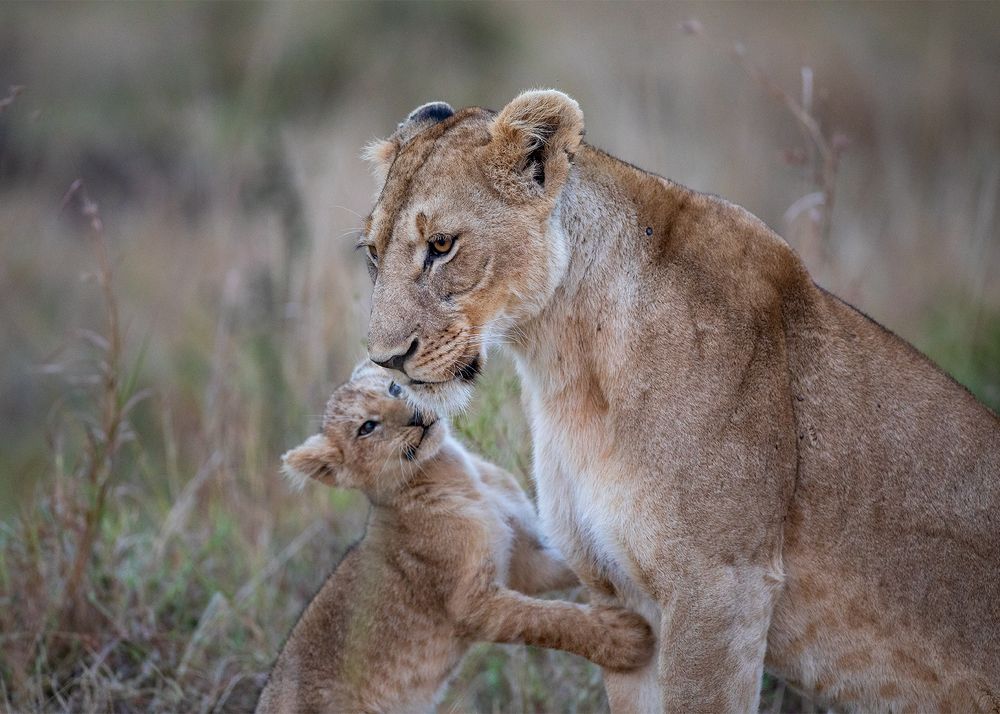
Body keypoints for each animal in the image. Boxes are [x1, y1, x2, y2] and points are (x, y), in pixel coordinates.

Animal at [255, 361, 654, 714]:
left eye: (394, 388)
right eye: (367, 427)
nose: (414, 414)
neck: (454, 471)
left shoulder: (525, 559)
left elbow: (566, 570)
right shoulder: (470, 605)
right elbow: (547, 620)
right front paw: (626, 639)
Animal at [357, 92, 1000, 712]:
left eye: (442, 245)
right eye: (371, 252)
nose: (386, 359)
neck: (567, 362)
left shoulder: (720, 588)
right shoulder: (617, 592)